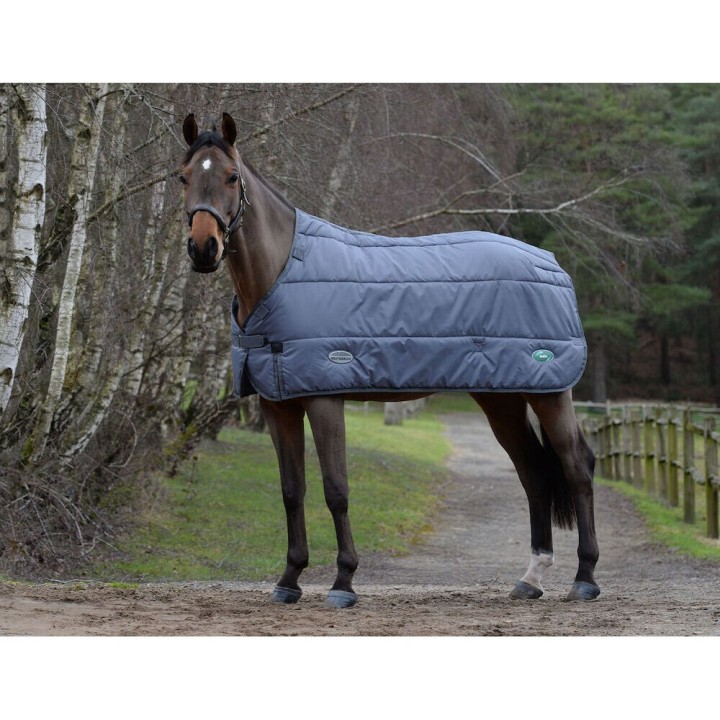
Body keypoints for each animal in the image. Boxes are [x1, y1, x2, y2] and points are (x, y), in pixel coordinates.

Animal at [179, 112, 600, 608]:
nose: (203, 248)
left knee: (576, 467)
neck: (282, 274)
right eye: (184, 177)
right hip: (503, 397)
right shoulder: (278, 402)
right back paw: (530, 578)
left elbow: (336, 490)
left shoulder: (324, 397)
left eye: (231, 176)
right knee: (533, 471)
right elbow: (291, 491)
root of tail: (552, 265)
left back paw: (584, 579)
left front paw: (343, 583)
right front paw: (289, 580)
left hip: (550, 391)